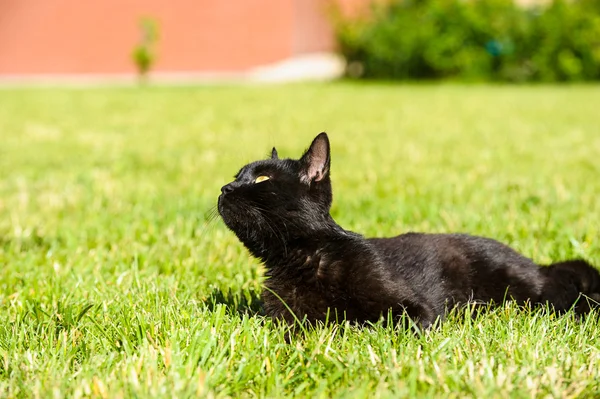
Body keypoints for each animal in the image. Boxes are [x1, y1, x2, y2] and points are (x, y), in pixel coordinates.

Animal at [217, 133, 600, 330]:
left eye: (261, 178)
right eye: (237, 175)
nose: (224, 188)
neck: (304, 258)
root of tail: (535, 264)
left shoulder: (418, 311)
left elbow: (364, 323)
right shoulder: (283, 322)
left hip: (530, 292)